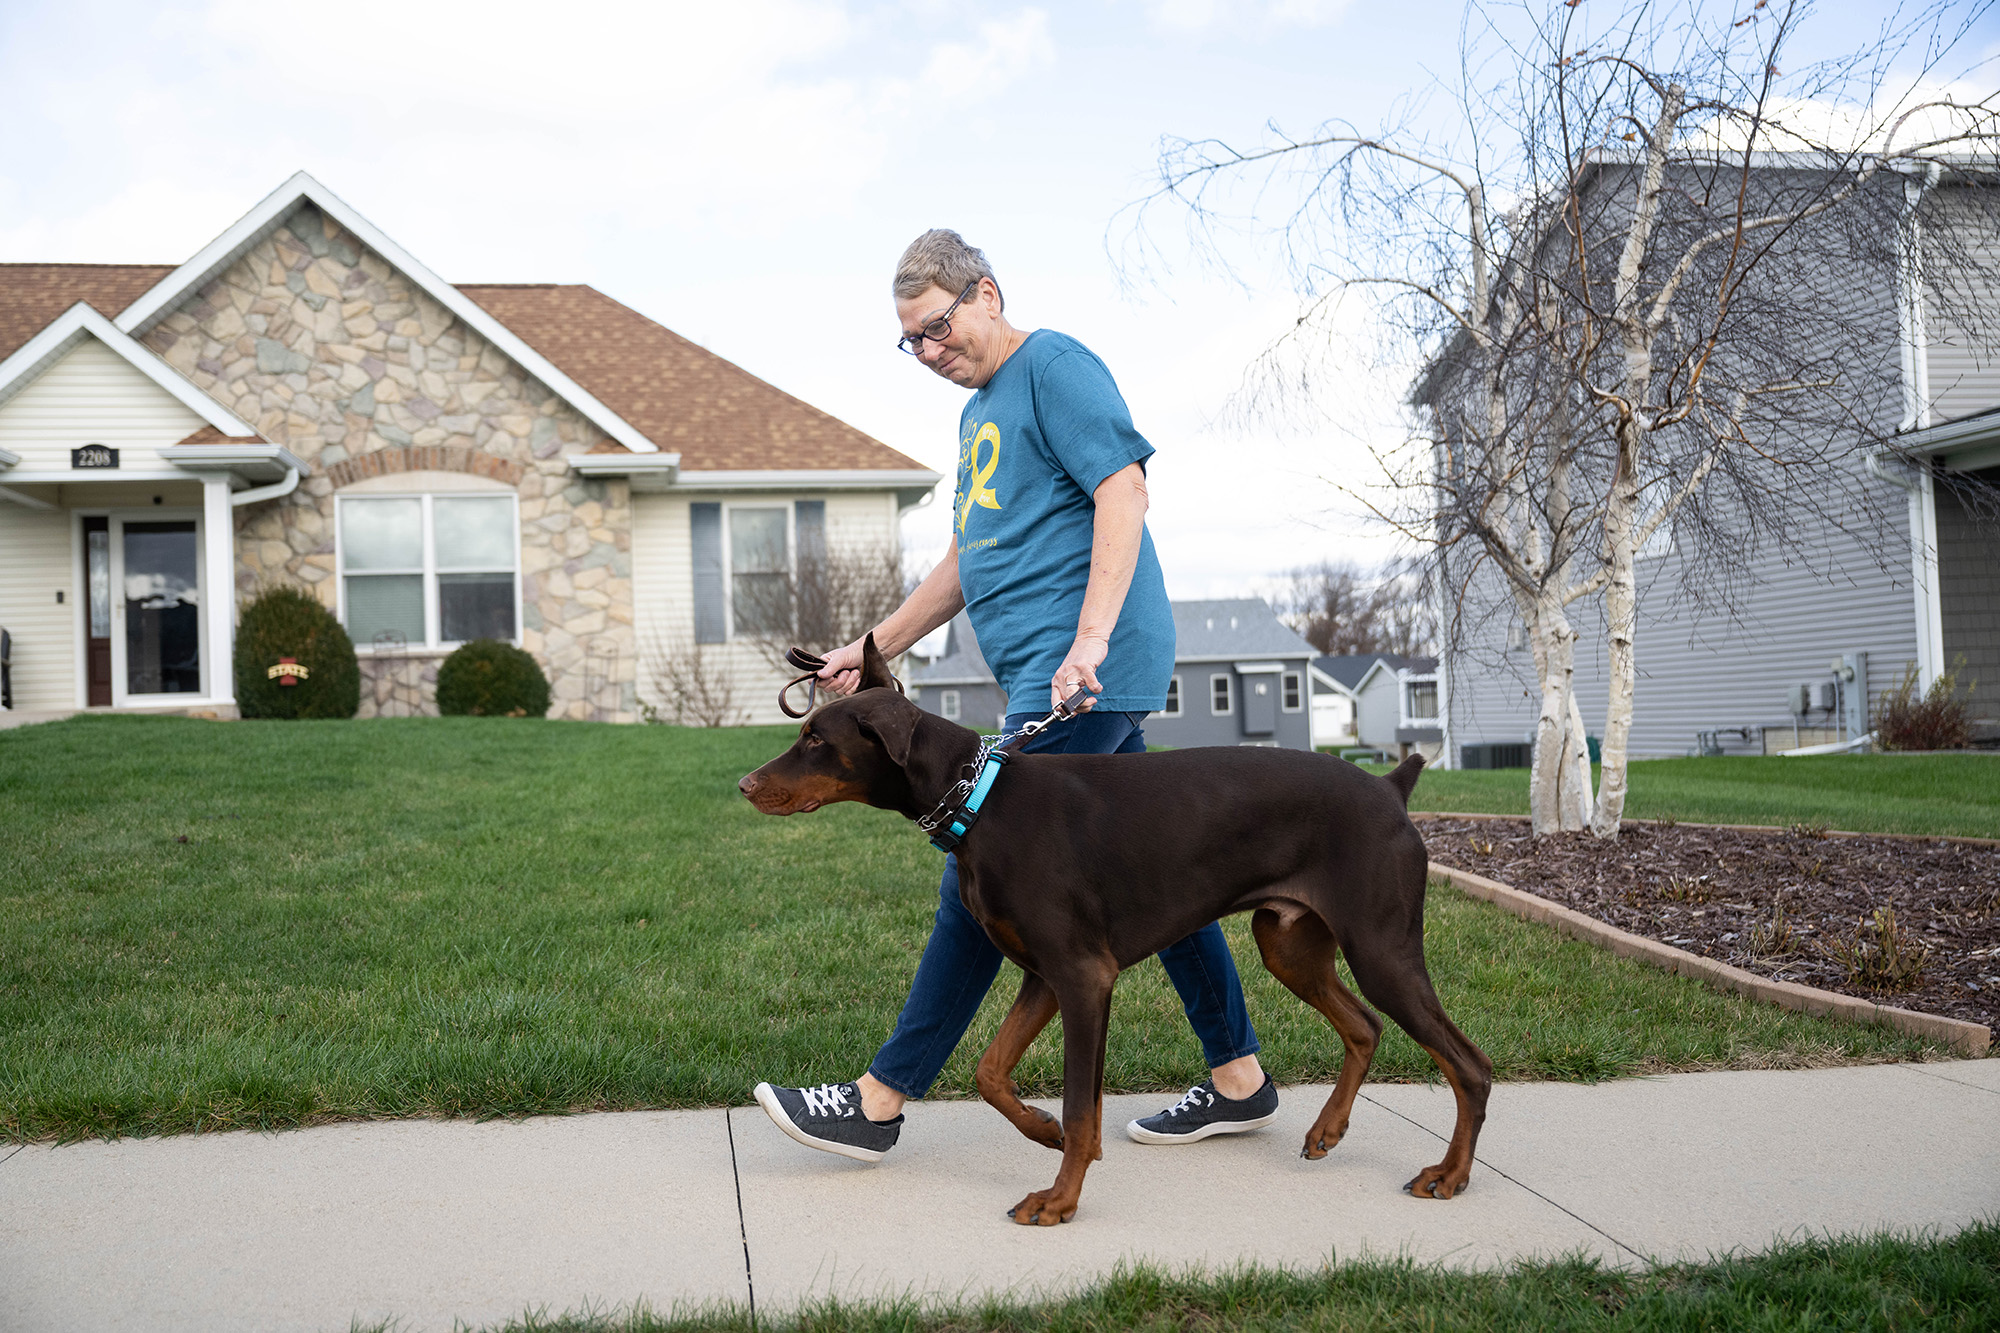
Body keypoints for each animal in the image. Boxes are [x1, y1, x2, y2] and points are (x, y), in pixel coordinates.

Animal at [744, 636, 1496, 1224]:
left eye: (817, 739)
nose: (747, 786)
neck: (978, 800)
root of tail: (1392, 787)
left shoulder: (1083, 976)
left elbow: (1083, 1103)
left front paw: (1059, 1198)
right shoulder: (1044, 973)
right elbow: (990, 1071)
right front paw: (1043, 1130)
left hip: (1380, 945)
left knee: (1469, 1064)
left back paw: (1449, 1175)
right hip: (1287, 941)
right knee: (1365, 1024)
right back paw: (1329, 1130)